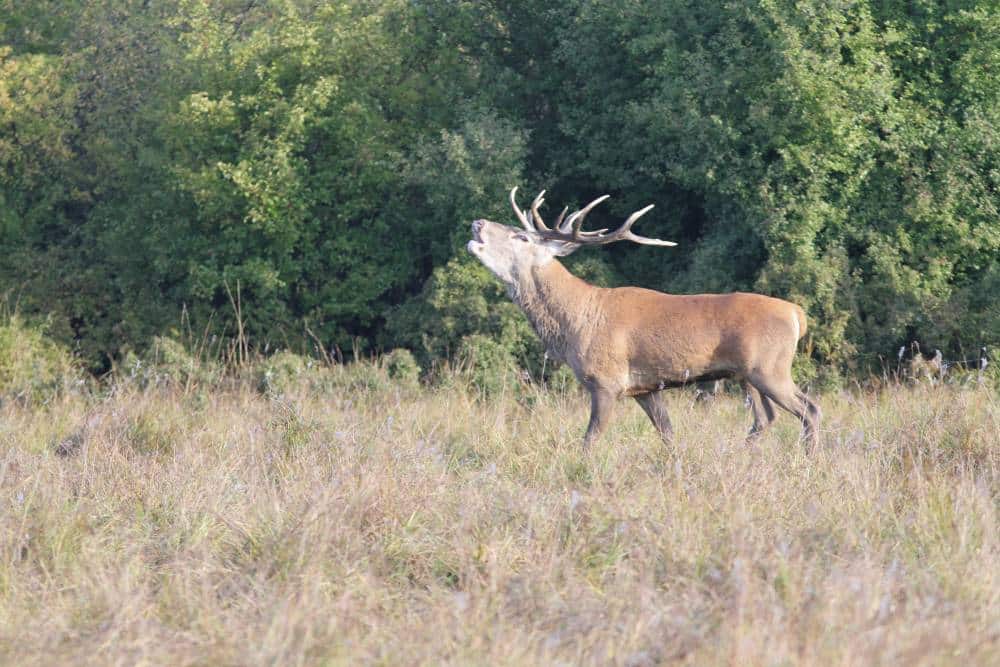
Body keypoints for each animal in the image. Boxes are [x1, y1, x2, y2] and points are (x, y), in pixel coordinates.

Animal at [467, 188, 821, 449]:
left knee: (810, 410)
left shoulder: (606, 381)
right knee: (766, 418)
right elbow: (667, 433)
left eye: (521, 237)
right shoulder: (644, 388)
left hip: (769, 367)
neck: (577, 321)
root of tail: (797, 314)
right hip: (747, 375)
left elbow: (589, 440)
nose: (478, 223)